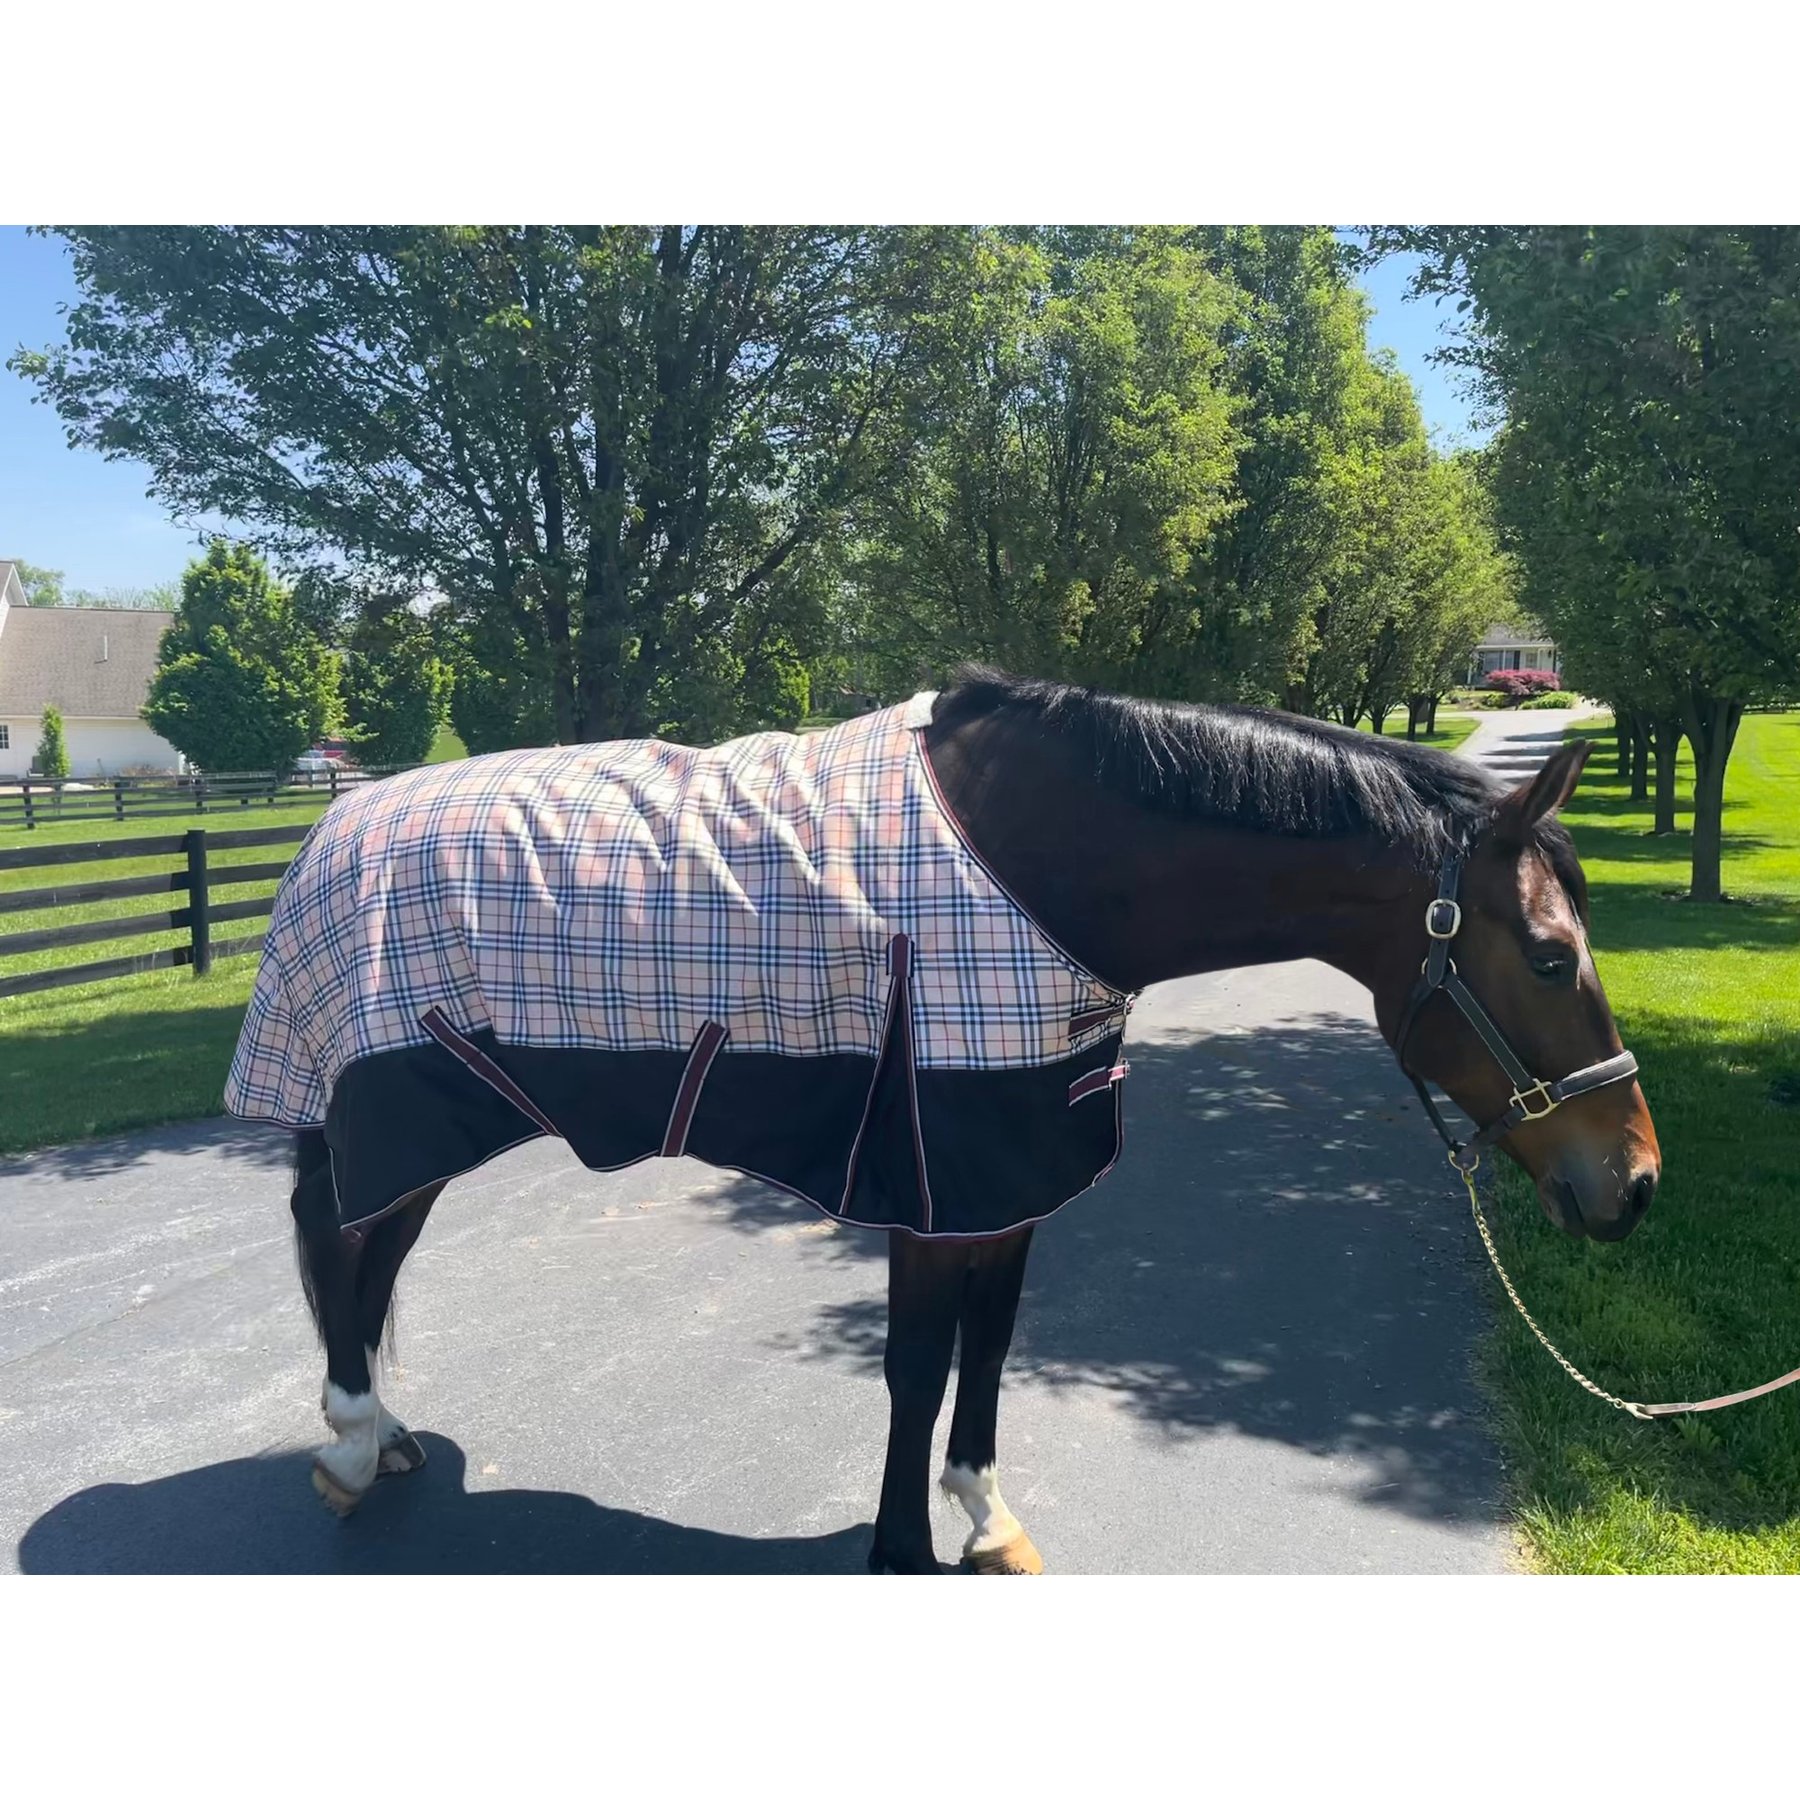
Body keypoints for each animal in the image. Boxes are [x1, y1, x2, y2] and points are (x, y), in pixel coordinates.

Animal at [239, 669, 1659, 1573]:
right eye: (1548, 958)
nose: (1633, 1181)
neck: (1038, 873)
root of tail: (333, 821)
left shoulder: (1012, 1179)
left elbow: (989, 1351)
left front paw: (984, 1519)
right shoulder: (932, 1184)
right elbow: (918, 1366)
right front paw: (900, 1548)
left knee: (366, 1258)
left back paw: (383, 1437)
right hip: (395, 1111)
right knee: (337, 1241)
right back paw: (352, 1448)